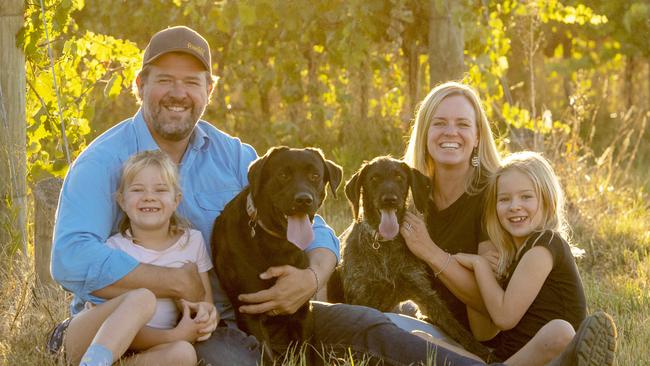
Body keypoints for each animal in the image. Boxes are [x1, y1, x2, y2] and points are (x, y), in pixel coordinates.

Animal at [213, 146, 342, 360]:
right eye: (283, 175)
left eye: (315, 176)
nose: (303, 199)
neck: (278, 242)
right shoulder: (249, 311)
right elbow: (266, 356)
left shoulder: (302, 307)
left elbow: (305, 354)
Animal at [330, 156, 486, 358]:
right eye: (374, 178)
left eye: (399, 177)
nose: (390, 200)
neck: (384, 244)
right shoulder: (361, 297)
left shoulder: (424, 293)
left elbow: (452, 324)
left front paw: (482, 351)